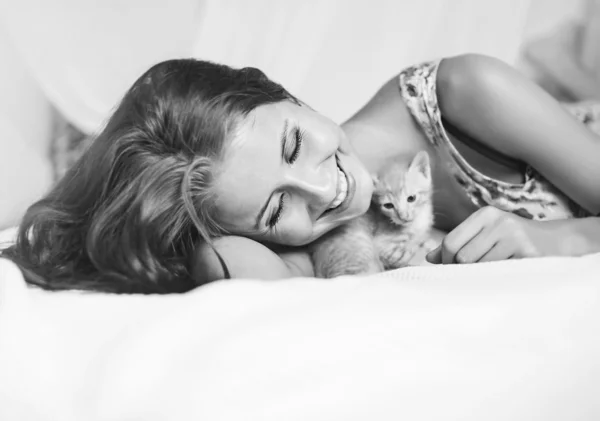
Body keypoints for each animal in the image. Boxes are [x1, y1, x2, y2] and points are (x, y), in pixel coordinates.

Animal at [312, 149, 434, 278]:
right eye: (388, 205)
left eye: (411, 198)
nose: (403, 217)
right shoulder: (384, 247)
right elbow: (409, 257)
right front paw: (425, 259)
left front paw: (428, 243)